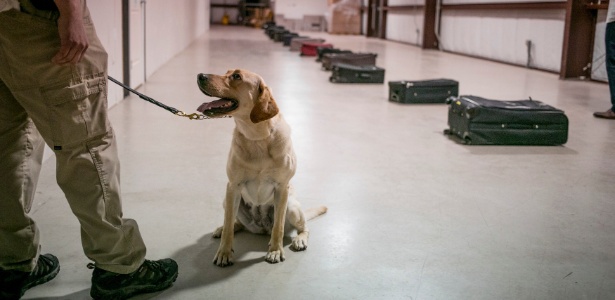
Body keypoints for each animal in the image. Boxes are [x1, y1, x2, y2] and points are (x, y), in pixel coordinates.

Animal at [199, 69, 330, 266]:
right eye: (227, 72)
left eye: (236, 76)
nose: (200, 76)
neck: (257, 137)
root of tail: (260, 228)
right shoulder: (233, 186)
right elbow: (229, 224)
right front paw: (224, 252)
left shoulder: (282, 188)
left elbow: (279, 227)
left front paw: (275, 250)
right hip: (227, 199)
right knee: (234, 222)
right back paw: (223, 229)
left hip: (292, 206)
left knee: (303, 227)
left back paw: (299, 239)